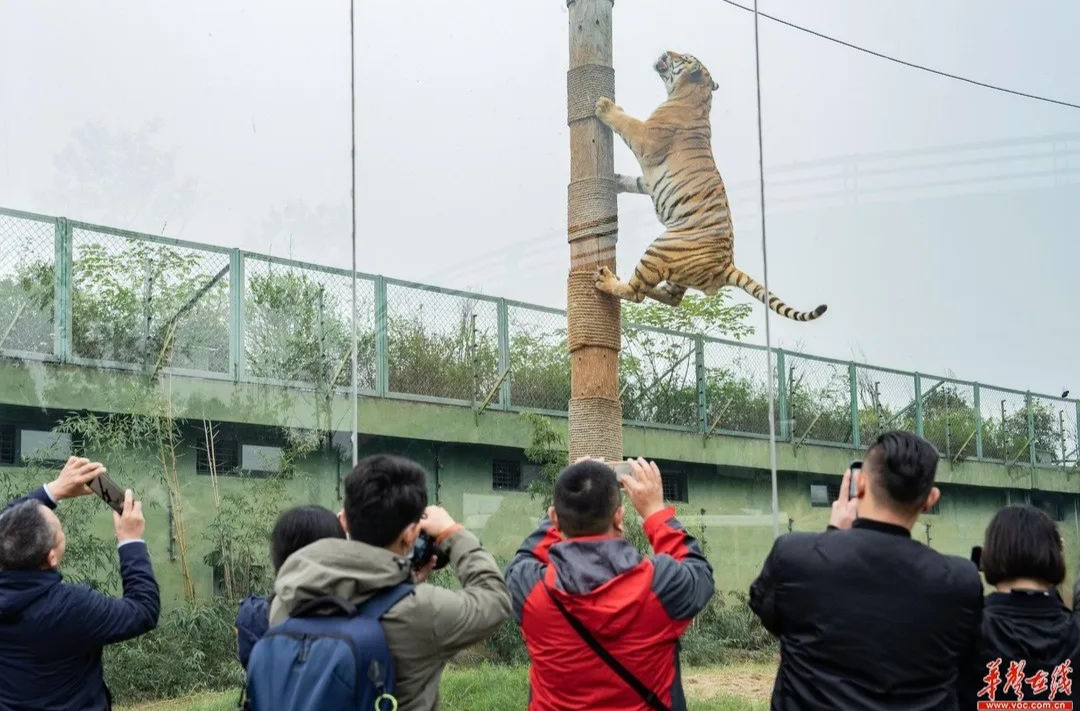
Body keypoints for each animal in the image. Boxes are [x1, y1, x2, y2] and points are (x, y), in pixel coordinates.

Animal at [591, 51, 825, 322]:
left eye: (683, 56)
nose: (666, 51)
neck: (693, 96)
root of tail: (726, 265)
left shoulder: (645, 138)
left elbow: (626, 123)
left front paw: (606, 107)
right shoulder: (648, 181)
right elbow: (635, 182)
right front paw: (616, 180)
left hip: (660, 248)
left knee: (637, 292)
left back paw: (607, 280)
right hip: (676, 271)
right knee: (672, 298)